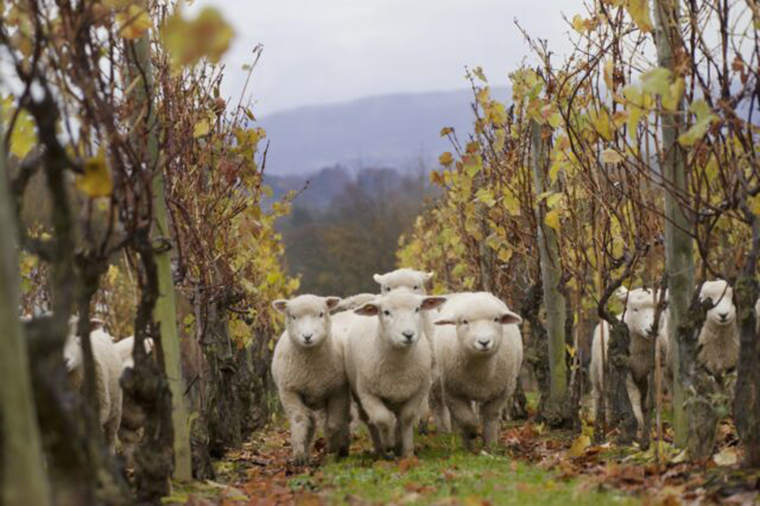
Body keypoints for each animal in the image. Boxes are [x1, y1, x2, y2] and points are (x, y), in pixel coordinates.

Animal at [270, 294, 348, 464]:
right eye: (293, 316)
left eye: (321, 314)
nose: (307, 336)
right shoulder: (289, 391)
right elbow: (299, 420)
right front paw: (299, 454)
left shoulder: (338, 391)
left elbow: (333, 423)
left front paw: (333, 450)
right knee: (310, 421)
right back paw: (305, 453)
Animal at [342, 288, 446, 458]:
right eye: (386, 312)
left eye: (417, 309)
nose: (408, 334)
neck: (399, 367)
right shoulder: (368, 394)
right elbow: (382, 419)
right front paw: (388, 444)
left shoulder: (418, 391)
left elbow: (407, 418)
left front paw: (407, 452)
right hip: (359, 395)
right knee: (370, 421)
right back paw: (379, 450)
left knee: (398, 418)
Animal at [430, 292, 524, 450]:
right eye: (465, 321)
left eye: (496, 319)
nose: (484, 342)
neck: (481, 373)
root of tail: (470, 293)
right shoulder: (453, 393)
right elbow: (465, 419)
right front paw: (473, 433)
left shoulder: (503, 392)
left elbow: (490, 416)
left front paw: (490, 446)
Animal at [592, 288, 668, 426]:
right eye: (635, 309)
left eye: (660, 308)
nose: (651, 328)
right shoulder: (625, 368)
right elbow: (633, 394)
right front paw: (637, 419)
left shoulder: (656, 368)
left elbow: (651, 395)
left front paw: (648, 418)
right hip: (599, 371)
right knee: (602, 394)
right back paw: (605, 420)